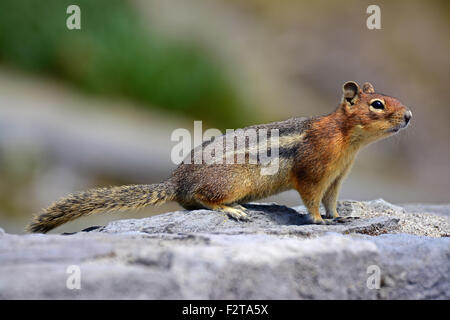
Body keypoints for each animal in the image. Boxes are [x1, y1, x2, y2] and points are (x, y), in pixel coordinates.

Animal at [27, 81, 412, 232]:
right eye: (378, 105)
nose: (409, 116)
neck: (348, 140)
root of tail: (175, 181)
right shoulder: (314, 170)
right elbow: (311, 197)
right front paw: (318, 221)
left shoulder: (337, 177)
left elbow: (332, 200)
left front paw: (339, 218)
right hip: (230, 181)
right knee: (202, 199)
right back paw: (232, 209)